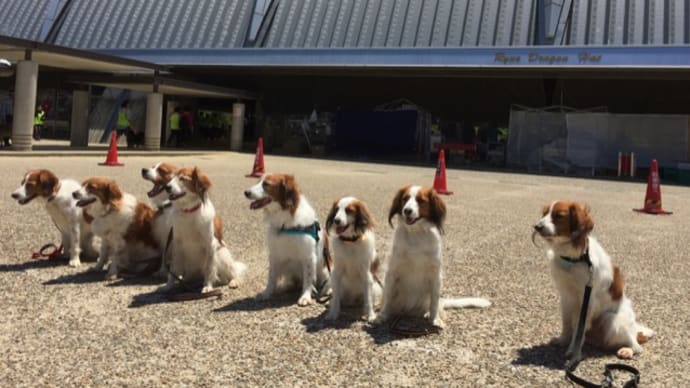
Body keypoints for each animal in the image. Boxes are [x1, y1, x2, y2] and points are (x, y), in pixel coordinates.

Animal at [245, 174, 330, 306]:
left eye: (266, 184)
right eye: (258, 181)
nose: (246, 192)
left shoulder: (308, 256)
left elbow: (308, 279)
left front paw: (305, 296)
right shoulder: (275, 255)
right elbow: (271, 277)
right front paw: (266, 293)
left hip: (325, 270)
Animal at [374, 185, 492, 328]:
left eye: (420, 200)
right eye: (405, 199)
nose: (407, 211)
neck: (416, 234)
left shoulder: (436, 275)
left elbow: (434, 301)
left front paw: (435, 319)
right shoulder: (392, 272)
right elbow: (388, 296)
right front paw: (382, 316)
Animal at [532, 202, 652, 360]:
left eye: (559, 216)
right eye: (544, 214)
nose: (537, 226)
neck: (575, 257)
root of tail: (636, 331)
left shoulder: (587, 300)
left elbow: (578, 328)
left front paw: (574, 351)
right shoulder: (566, 296)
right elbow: (567, 322)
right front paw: (563, 340)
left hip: (611, 320)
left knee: (637, 347)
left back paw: (627, 350)